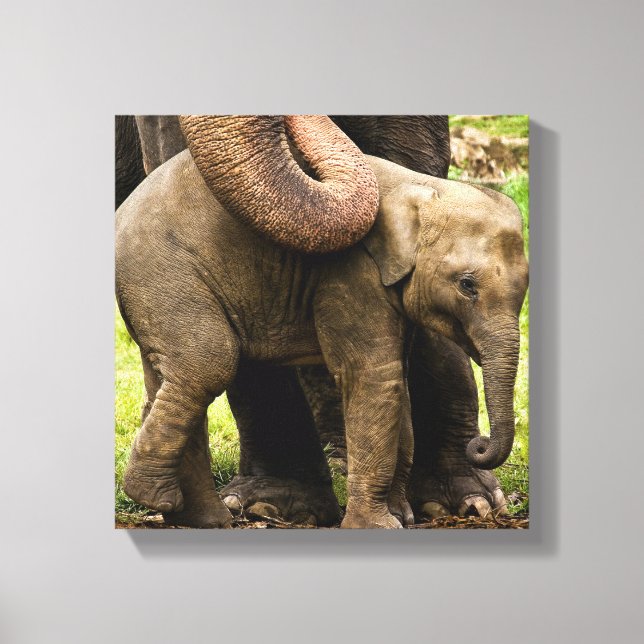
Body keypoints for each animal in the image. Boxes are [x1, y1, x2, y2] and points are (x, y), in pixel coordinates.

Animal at [116, 116, 528, 528]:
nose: (480, 446)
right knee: (207, 364)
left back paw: (201, 517)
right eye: (467, 285)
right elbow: (373, 377)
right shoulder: (349, 273)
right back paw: (161, 497)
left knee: (168, 374)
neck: (420, 192)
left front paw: (403, 515)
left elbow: (396, 382)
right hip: (165, 275)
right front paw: (375, 525)